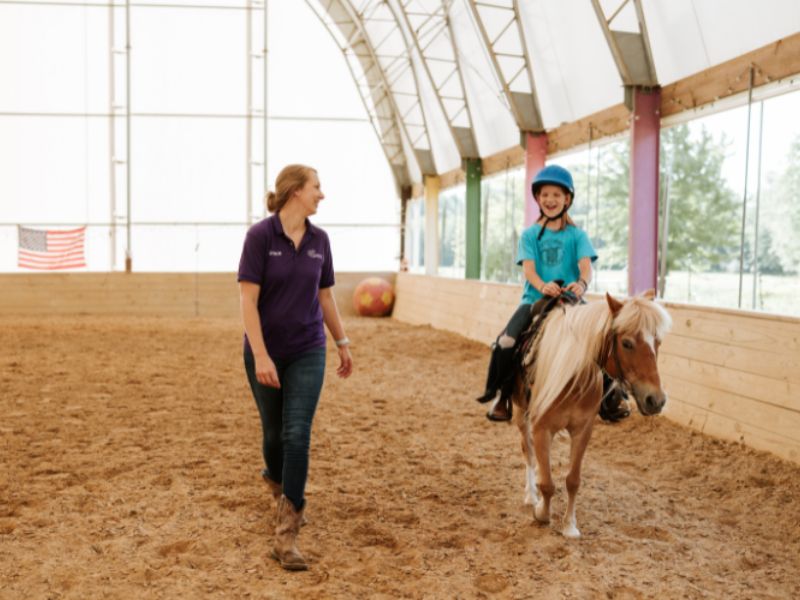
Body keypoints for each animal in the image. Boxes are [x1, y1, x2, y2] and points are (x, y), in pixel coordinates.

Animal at [512, 288, 668, 536]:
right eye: (626, 343)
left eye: (658, 342)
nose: (656, 400)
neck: (572, 377)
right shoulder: (541, 429)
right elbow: (547, 483)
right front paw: (542, 513)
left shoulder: (582, 430)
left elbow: (573, 480)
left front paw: (570, 526)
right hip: (521, 414)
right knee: (528, 452)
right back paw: (530, 495)